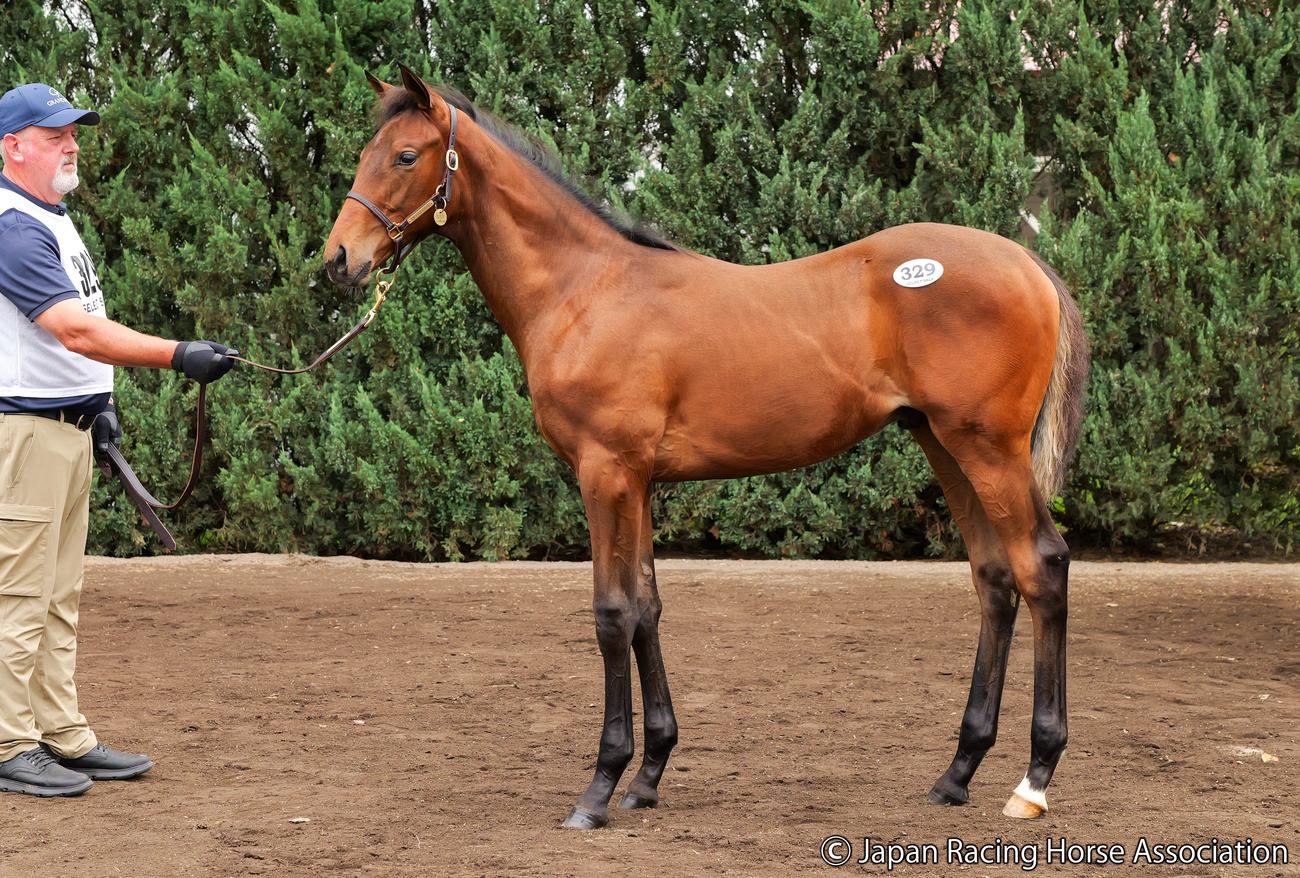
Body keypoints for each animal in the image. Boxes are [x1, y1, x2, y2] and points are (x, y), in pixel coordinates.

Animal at [323, 64, 1089, 829]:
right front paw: (648, 775)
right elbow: (647, 610)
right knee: (994, 580)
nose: (338, 259)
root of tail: (1026, 262)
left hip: (988, 449)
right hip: (943, 445)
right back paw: (957, 772)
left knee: (1041, 567)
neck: (586, 290)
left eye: (405, 156)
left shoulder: (605, 473)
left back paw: (1033, 780)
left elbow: (611, 615)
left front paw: (599, 788)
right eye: (368, 152)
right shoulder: (639, 481)